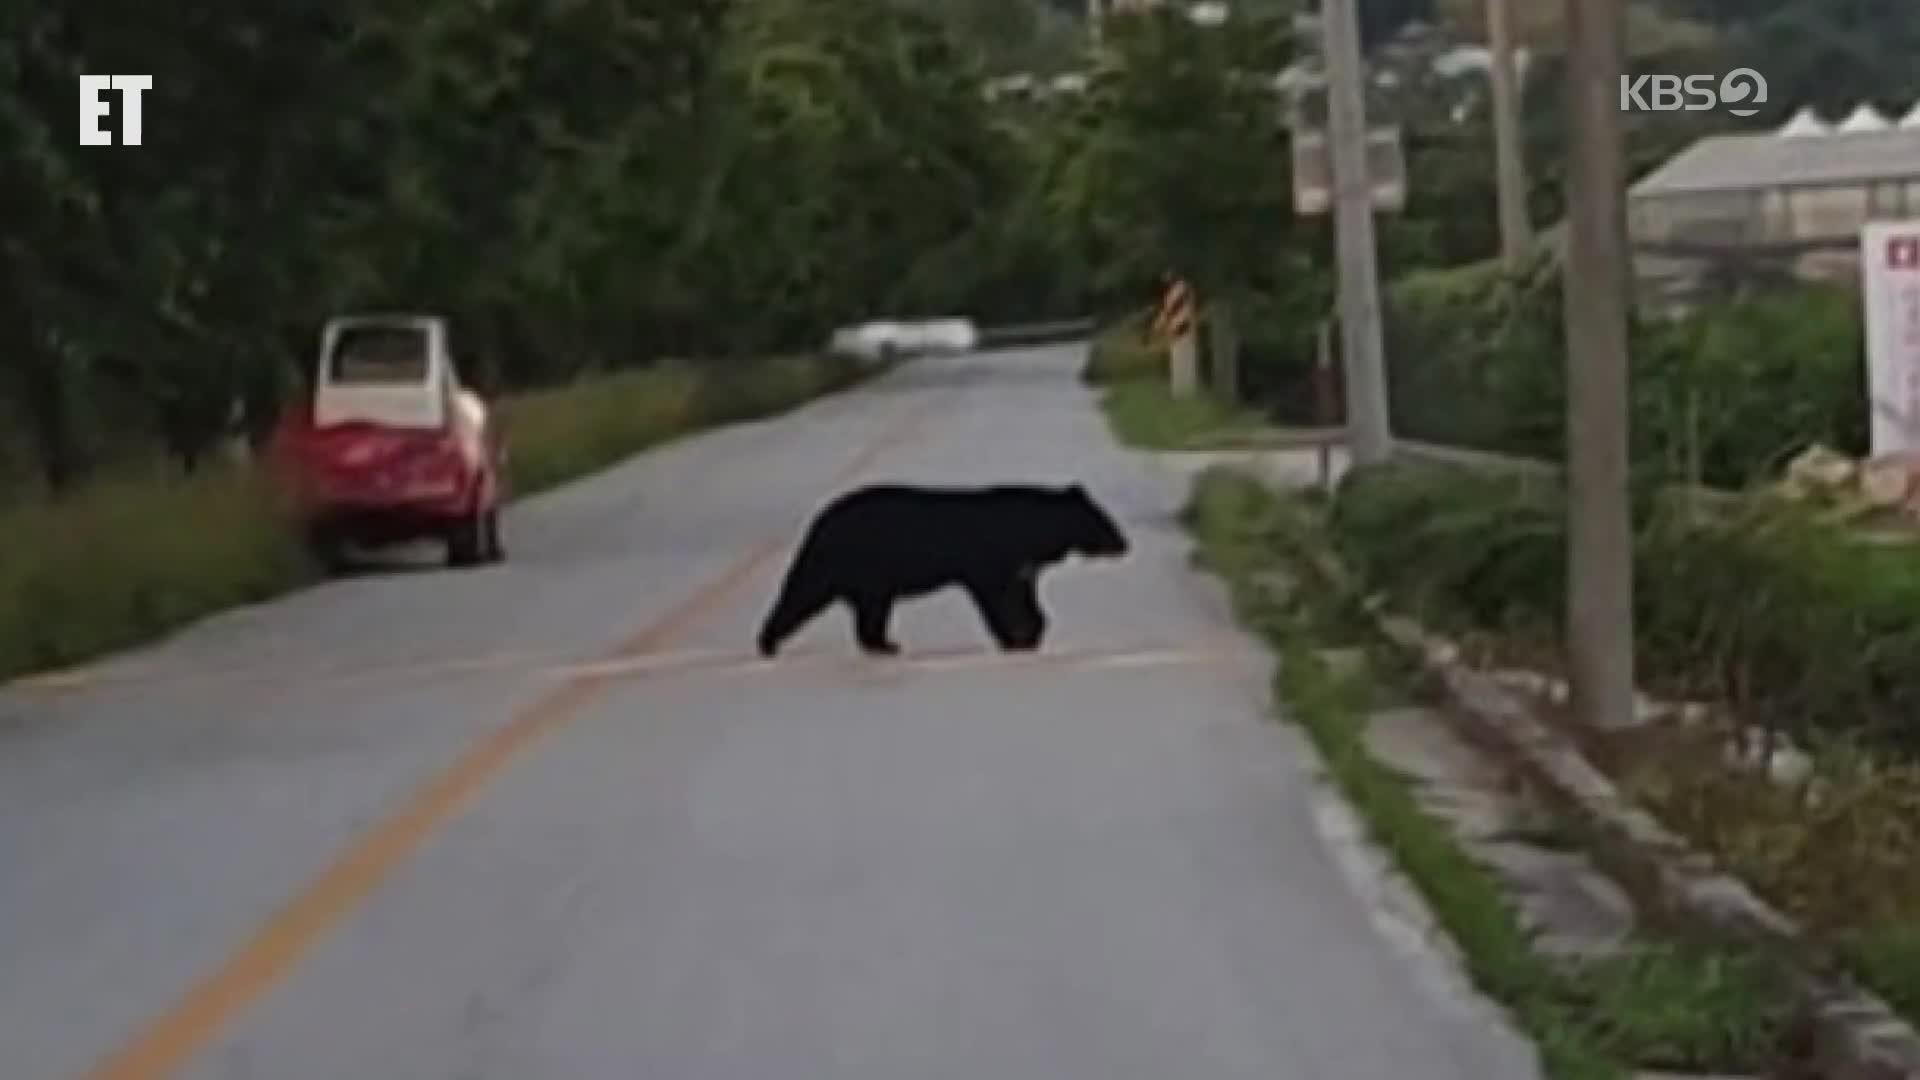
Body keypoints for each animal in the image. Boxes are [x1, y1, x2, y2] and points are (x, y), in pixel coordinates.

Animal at [756, 480, 1128, 653]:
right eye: (1104, 520)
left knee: (870, 609)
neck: (1030, 528)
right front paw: (1013, 638)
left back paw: (884, 645)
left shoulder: (1022, 566)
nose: (1125, 544)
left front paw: (1033, 632)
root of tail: (818, 520)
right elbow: (996, 597)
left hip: (870, 576)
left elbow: (1026, 596)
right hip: (843, 561)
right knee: (803, 592)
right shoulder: (990, 560)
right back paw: (768, 643)